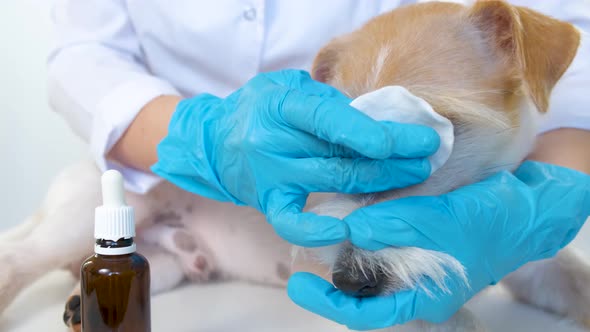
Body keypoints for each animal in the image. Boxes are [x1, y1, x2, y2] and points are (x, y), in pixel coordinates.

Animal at [1, 1, 590, 330]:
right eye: (327, 146)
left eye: (431, 138)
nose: (350, 282)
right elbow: (449, 322)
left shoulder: (526, 255)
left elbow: (572, 278)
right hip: (82, 218)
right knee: (18, 258)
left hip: (165, 261)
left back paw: (83, 303)